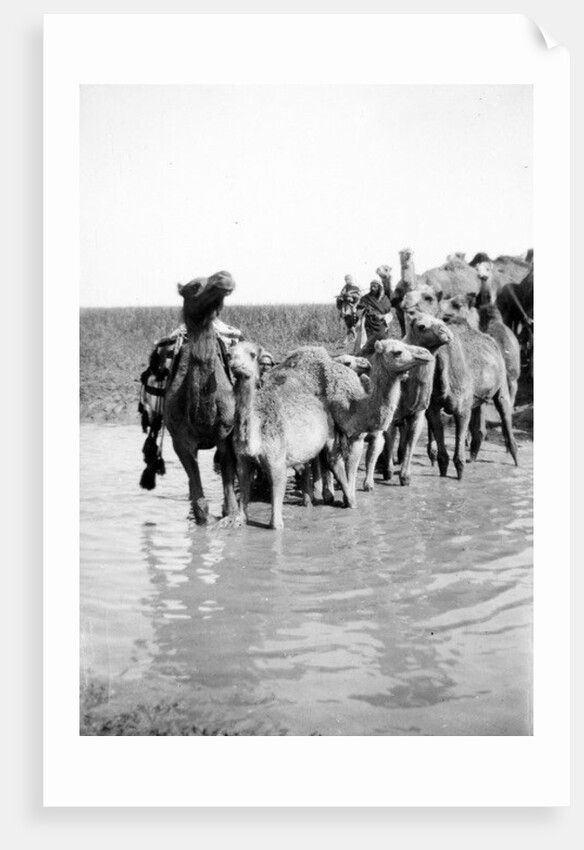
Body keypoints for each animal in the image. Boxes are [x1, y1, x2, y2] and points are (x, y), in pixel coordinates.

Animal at [163, 271, 239, 525]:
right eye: (194, 286)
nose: (224, 277)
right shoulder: (180, 441)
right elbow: (201, 505)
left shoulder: (227, 435)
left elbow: (230, 502)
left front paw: (231, 516)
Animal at [229, 341, 354, 529]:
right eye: (229, 354)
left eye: (252, 354)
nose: (234, 364)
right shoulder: (242, 461)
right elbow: (242, 508)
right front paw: (239, 519)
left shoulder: (277, 462)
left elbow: (275, 523)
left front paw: (277, 524)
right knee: (306, 467)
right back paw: (309, 501)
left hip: (330, 434)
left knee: (334, 461)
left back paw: (350, 503)